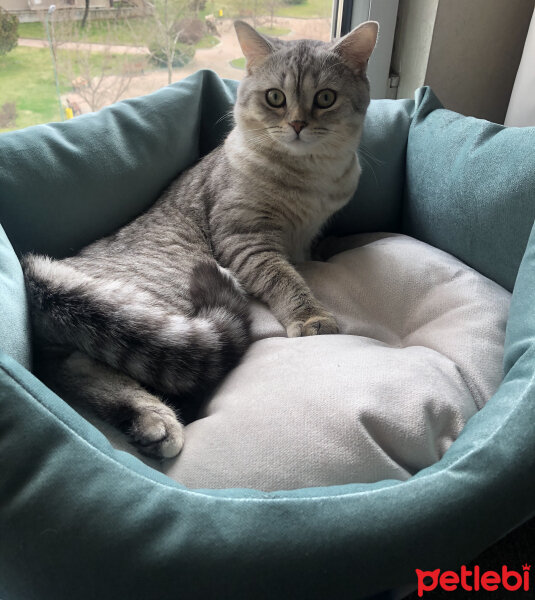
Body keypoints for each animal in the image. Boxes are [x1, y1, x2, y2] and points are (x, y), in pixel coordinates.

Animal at [23, 18, 378, 460]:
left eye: (325, 98)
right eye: (275, 98)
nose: (297, 125)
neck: (309, 178)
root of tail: (43, 277)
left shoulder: (308, 235)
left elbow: (308, 254)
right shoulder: (245, 239)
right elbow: (286, 279)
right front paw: (311, 317)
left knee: (76, 369)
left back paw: (149, 423)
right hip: (163, 291)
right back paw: (157, 420)